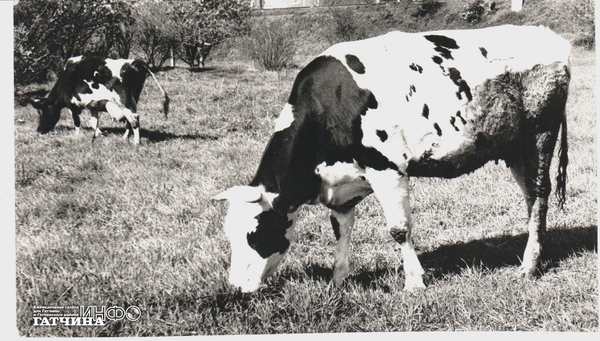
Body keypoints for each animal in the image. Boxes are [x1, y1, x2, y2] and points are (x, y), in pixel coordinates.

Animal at [31, 55, 170, 145]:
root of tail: (133, 62)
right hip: (133, 99)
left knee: (134, 119)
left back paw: (136, 142)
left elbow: (77, 121)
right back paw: (125, 137)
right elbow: (93, 122)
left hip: (123, 101)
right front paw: (99, 134)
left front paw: (76, 136)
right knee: (130, 119)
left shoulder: (71, 104)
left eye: (41, 111)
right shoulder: (93, 105)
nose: (39, 130)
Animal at [213, 25, 568, 292]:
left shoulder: (388, 169)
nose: (236, 287)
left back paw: (529, 267)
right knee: (530, 199)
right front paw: (337, 280)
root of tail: (548, 35)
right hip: (515, 147)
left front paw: (414, 282)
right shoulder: (342, 188)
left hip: (540, 133)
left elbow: (399, 229)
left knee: (540, 194)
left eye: (254, 233)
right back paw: (534, 253)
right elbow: (341, 230)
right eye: (228, 235)